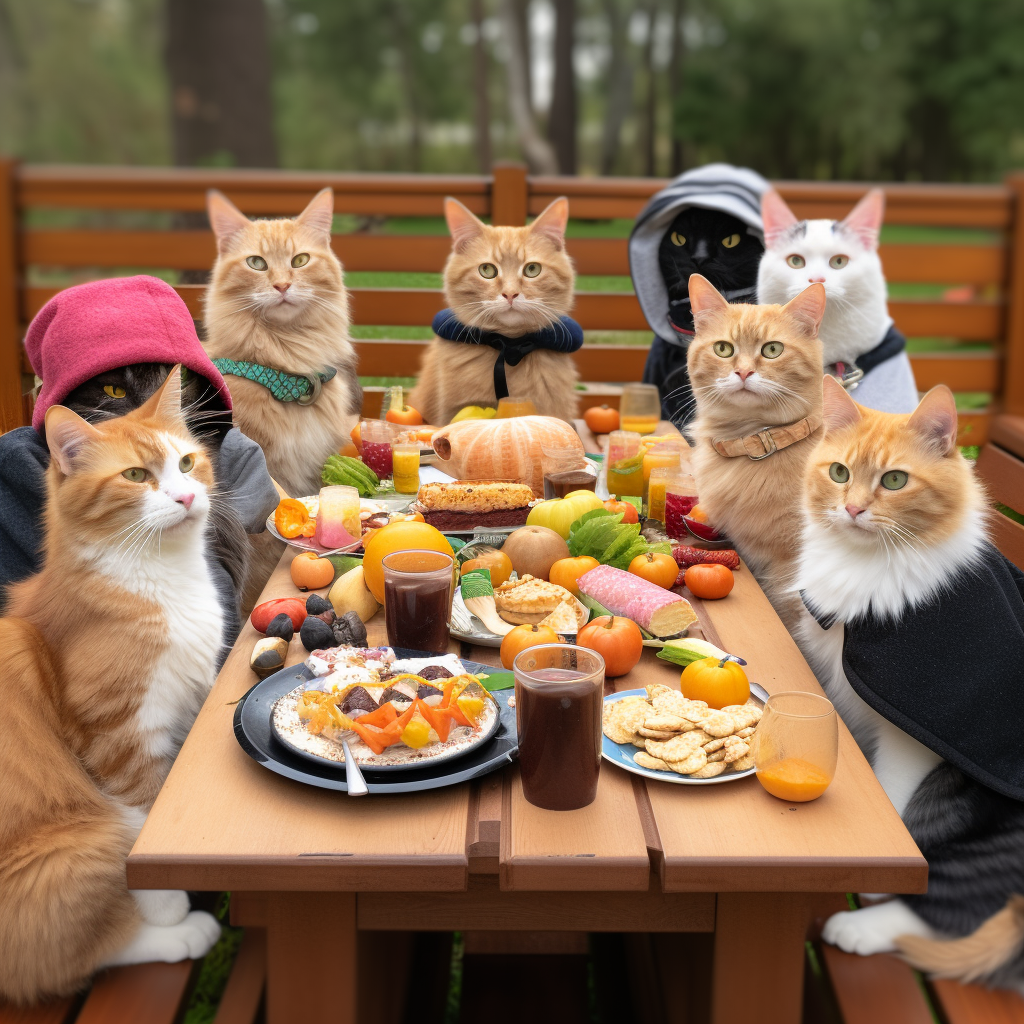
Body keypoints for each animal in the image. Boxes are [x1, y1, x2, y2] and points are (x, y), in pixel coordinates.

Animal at [0, 368, 223, 999]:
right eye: (135, 476)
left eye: (188, 463)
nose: (186, 497)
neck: (166, 581)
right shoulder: (117, 735)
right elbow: (147, 822)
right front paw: (169, 906)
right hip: (79, 844)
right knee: (52, 958)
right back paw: (182, 934)